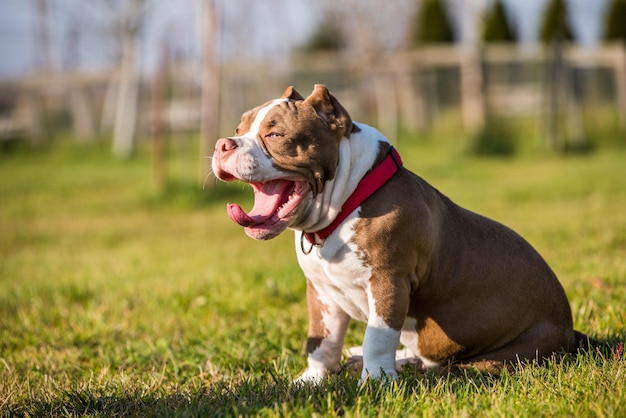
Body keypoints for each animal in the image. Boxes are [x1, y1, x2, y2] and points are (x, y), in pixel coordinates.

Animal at [210, 83, 588, 384]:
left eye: (275, 135)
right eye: (239, 128)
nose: (222, 144)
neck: (344, 205)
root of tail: (570, 332)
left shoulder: (388, 280)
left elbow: (378, 337)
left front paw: (376, 381)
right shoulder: (321, 292)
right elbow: (321, 341)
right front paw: (312, 380)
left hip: (510, 353)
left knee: (454, 366)